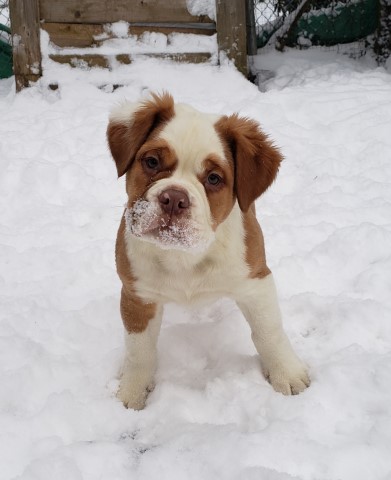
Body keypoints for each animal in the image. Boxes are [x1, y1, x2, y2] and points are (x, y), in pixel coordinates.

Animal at [107, 93, 310, 408]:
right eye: (151, 162)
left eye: (214, 179)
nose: (174, 198)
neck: (185, 256)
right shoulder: (137, 295)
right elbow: (139, 349)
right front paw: (132, 391)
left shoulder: (256, 281)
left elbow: (269, 332)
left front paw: (286, 373)